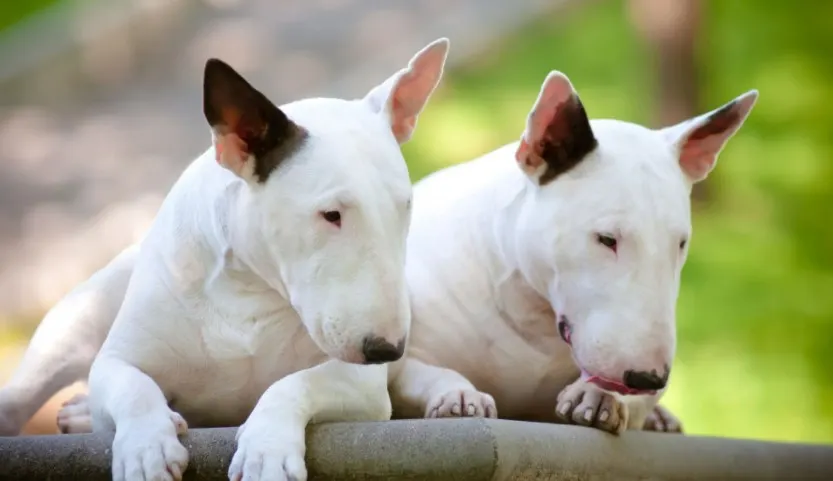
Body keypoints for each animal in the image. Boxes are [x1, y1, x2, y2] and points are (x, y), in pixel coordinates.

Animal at [0, 37, 448, 480]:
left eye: (405, 206)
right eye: (331, 214)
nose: (386, 350)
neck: (247, 288)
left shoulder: (362, 384)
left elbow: (296, 383)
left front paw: (266, 449)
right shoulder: (116, 360)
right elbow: (133, 386)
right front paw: (146, 448)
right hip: (76, 321)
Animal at [386, 71, 756, 436]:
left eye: (680, 243)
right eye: (606, 239)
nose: (648, 377)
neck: (532, 318)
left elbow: (627, 397)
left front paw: (599, 396)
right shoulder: (405, 357)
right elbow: (425, 373)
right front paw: (460, 396)